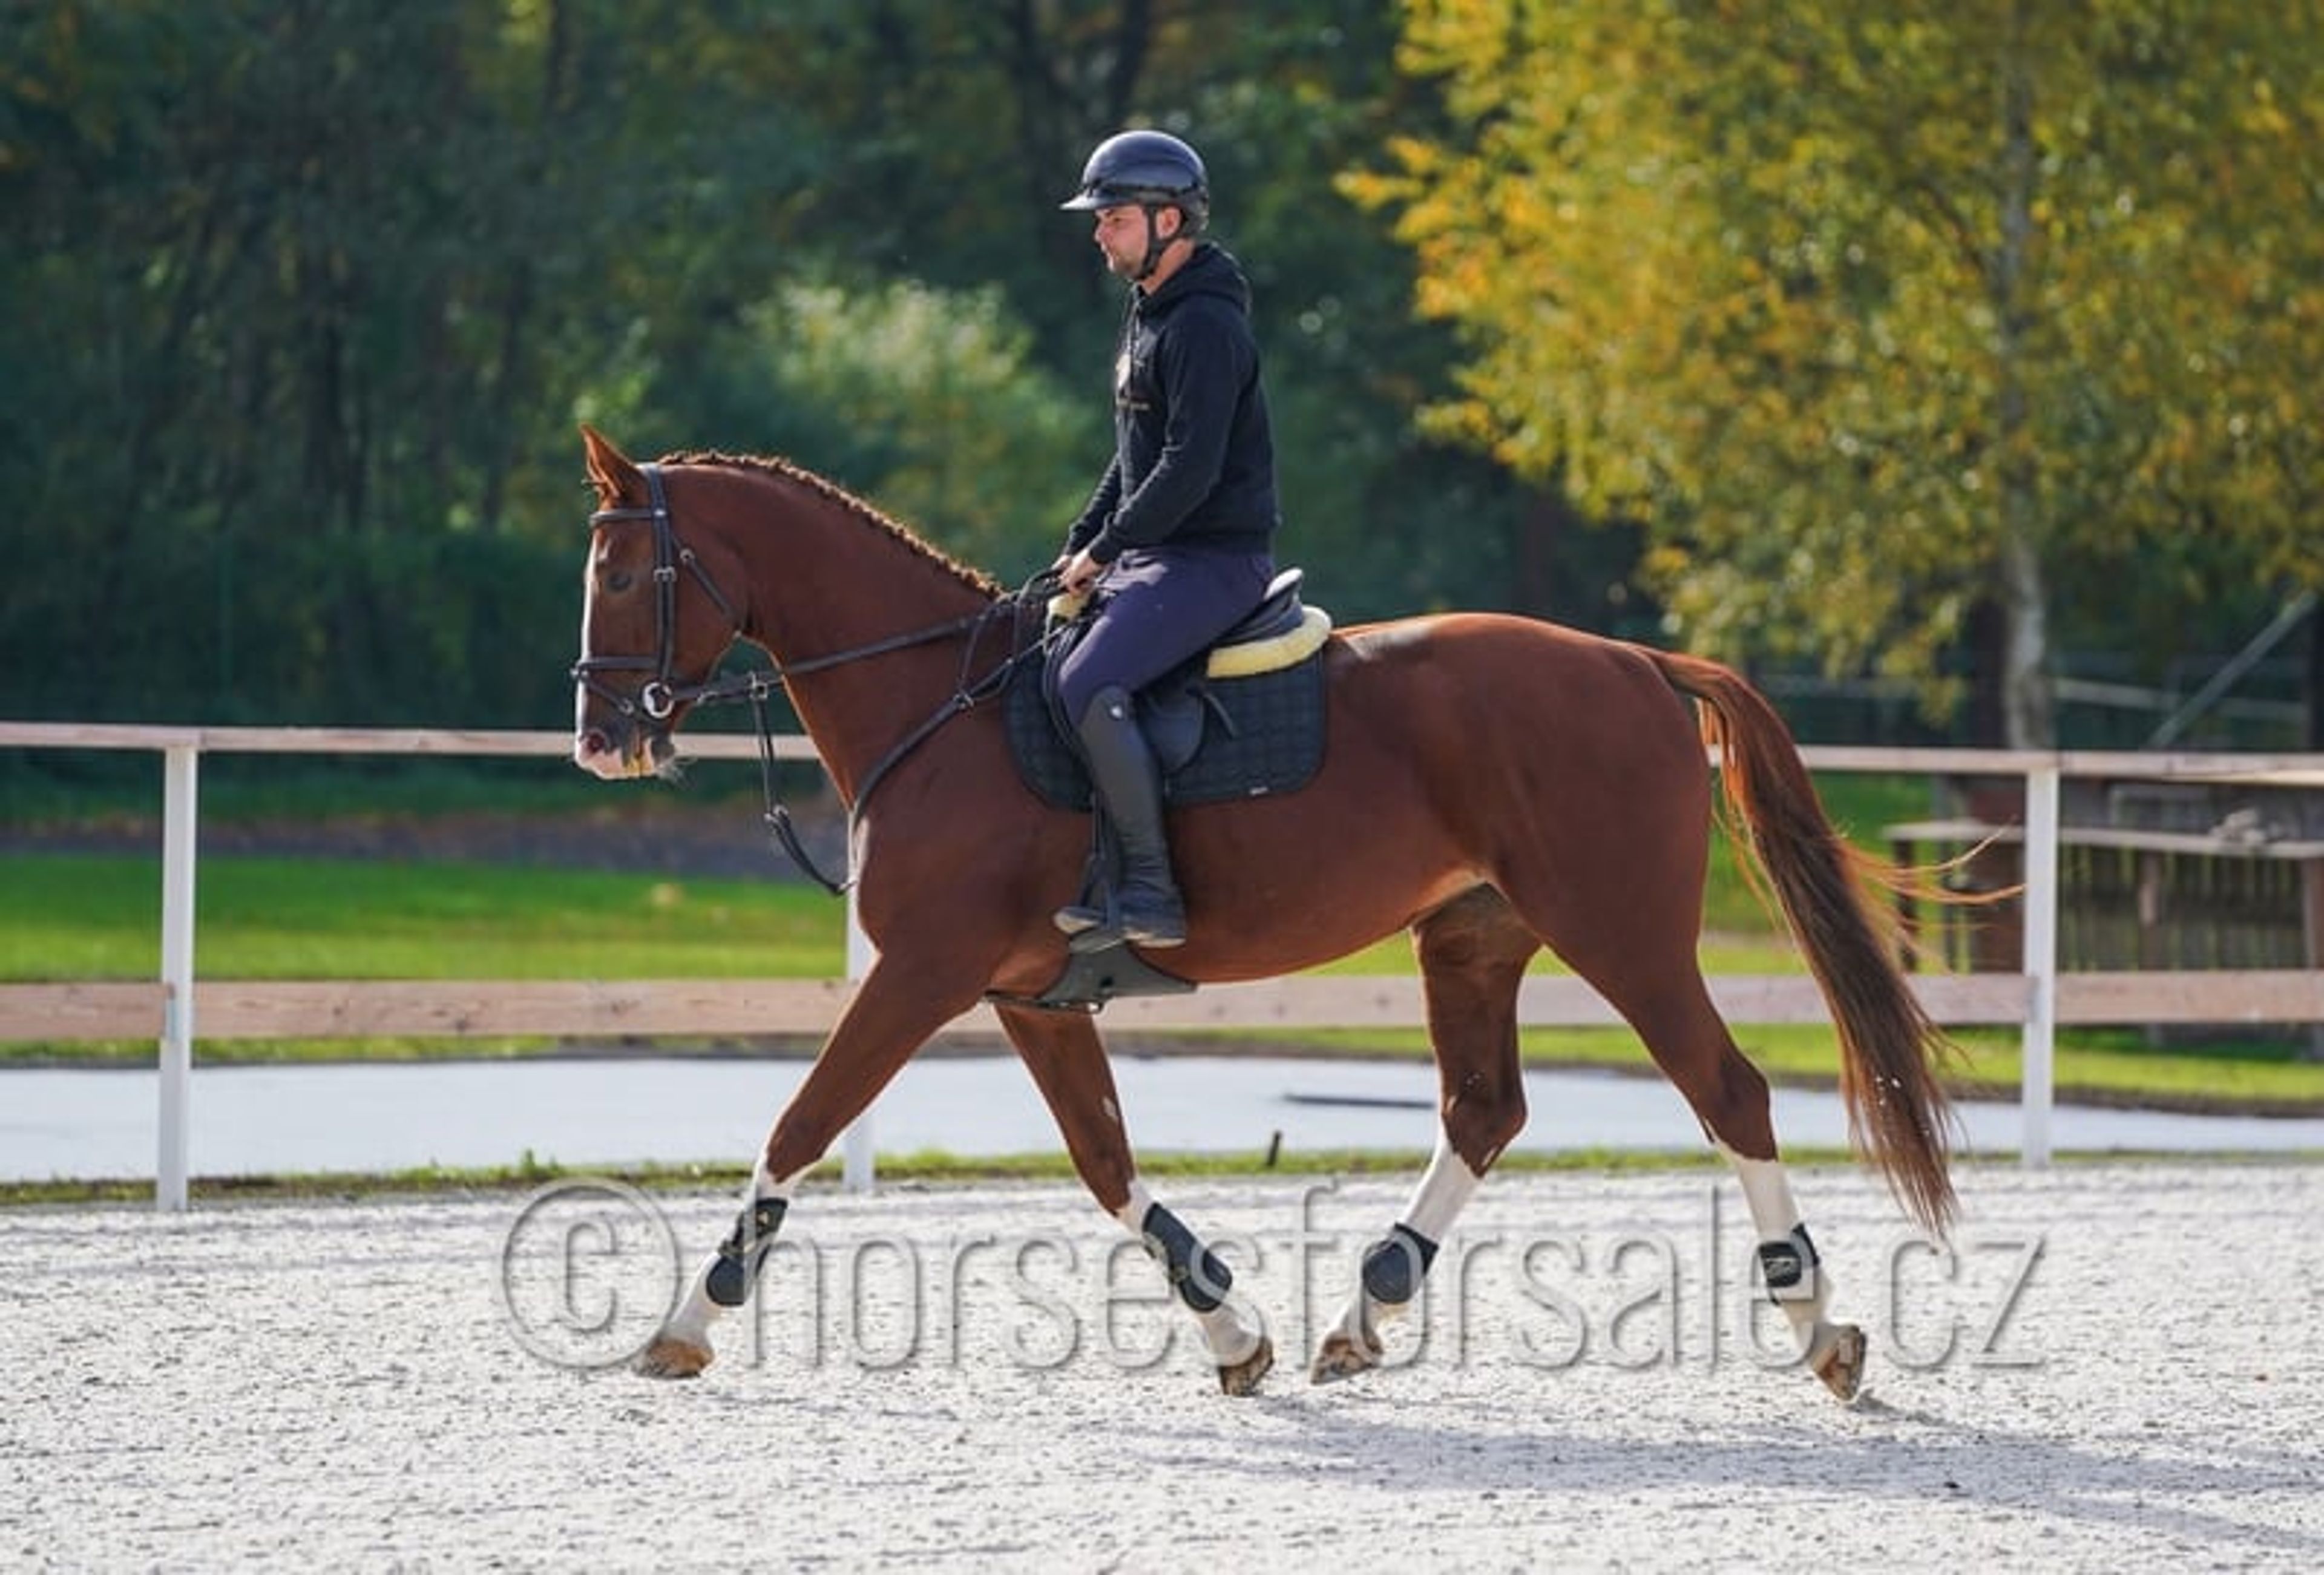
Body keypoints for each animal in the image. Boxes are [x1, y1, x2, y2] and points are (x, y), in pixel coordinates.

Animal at [567, 425, 1960, 1402]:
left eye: (627, 571)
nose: (598, 739)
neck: (938, 702)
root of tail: (1638, 662)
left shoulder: (918, 971)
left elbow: (799, 1125)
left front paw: (689, 1319)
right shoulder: (1027, 995)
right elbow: (1107, 1161)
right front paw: (1234, 1329)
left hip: (1621, 934)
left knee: (1728, 1091)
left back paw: (1822, 1331)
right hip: (1472, 935)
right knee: (1484, 1110)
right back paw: (1367, 1308)